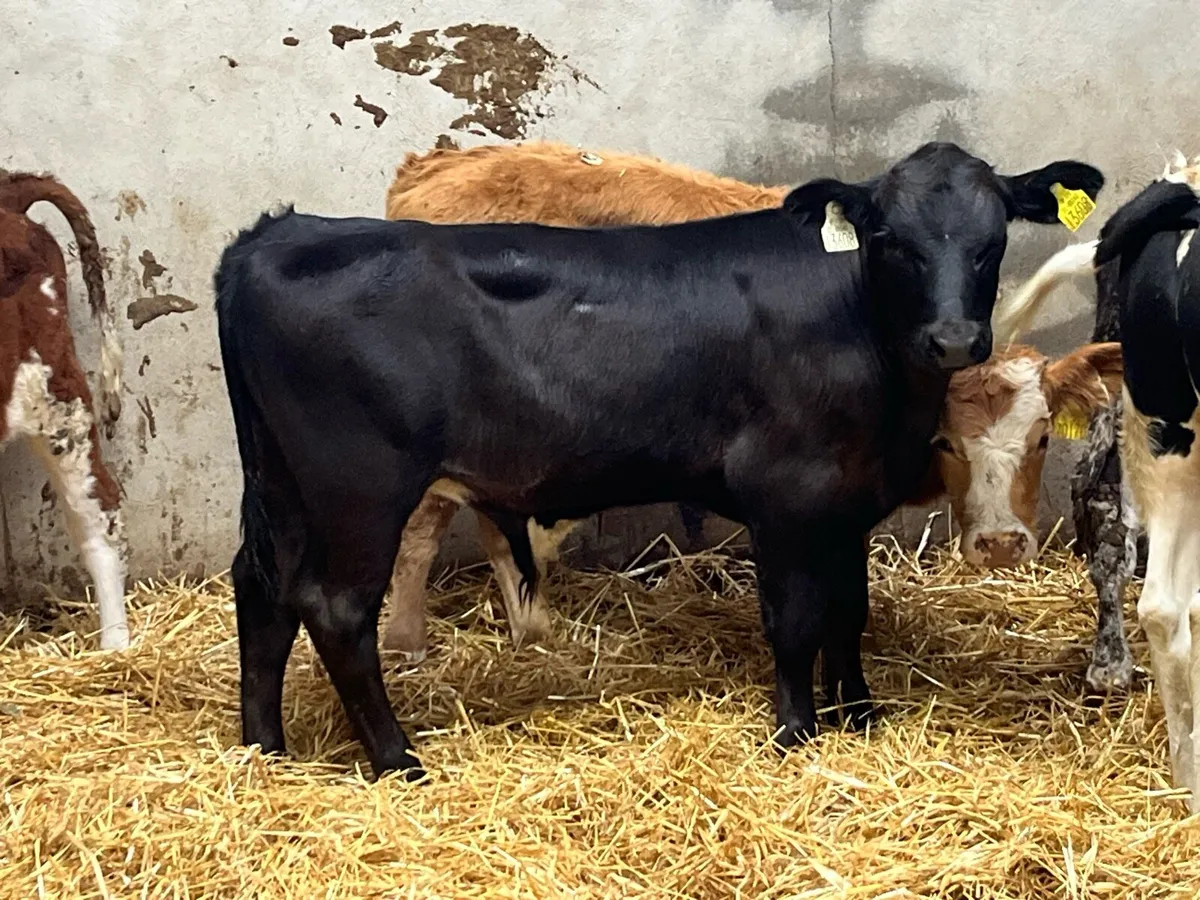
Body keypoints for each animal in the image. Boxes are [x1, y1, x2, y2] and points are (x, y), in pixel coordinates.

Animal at [378, 141, 1121, 677]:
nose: (1001, 544)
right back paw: (409, 643)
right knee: (422, 530)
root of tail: (435, 164)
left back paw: (528, 630)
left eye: (1043, 438)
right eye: (948, 444)